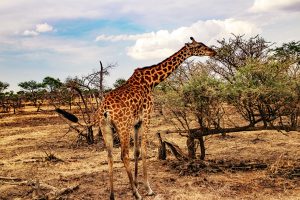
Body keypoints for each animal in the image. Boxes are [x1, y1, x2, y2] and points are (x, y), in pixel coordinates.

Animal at [97, 36, 217, 199]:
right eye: (199, 45)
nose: (213, 52)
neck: (151, 82)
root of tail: (105, 110)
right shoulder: (147, 116)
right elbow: (144, 150)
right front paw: (147, 188)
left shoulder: (136, 123)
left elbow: (137, 151)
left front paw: (136, 183)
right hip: (123, 127)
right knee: (123, 155)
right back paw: (136, 194)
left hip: (106, 128)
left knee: (109, 155)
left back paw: (112, 195)